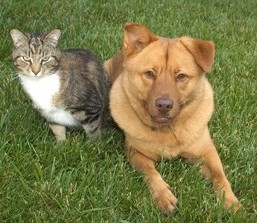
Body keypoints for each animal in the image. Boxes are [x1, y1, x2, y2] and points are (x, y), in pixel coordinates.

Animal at [104, 23, 240, 214]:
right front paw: (163, 196)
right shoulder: (136, 153)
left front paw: (230, 200)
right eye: (150, 73)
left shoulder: (206, 151)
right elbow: (151, 173)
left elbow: (219, 175)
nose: (164, 105)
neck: (169, 131)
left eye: (181, 76)